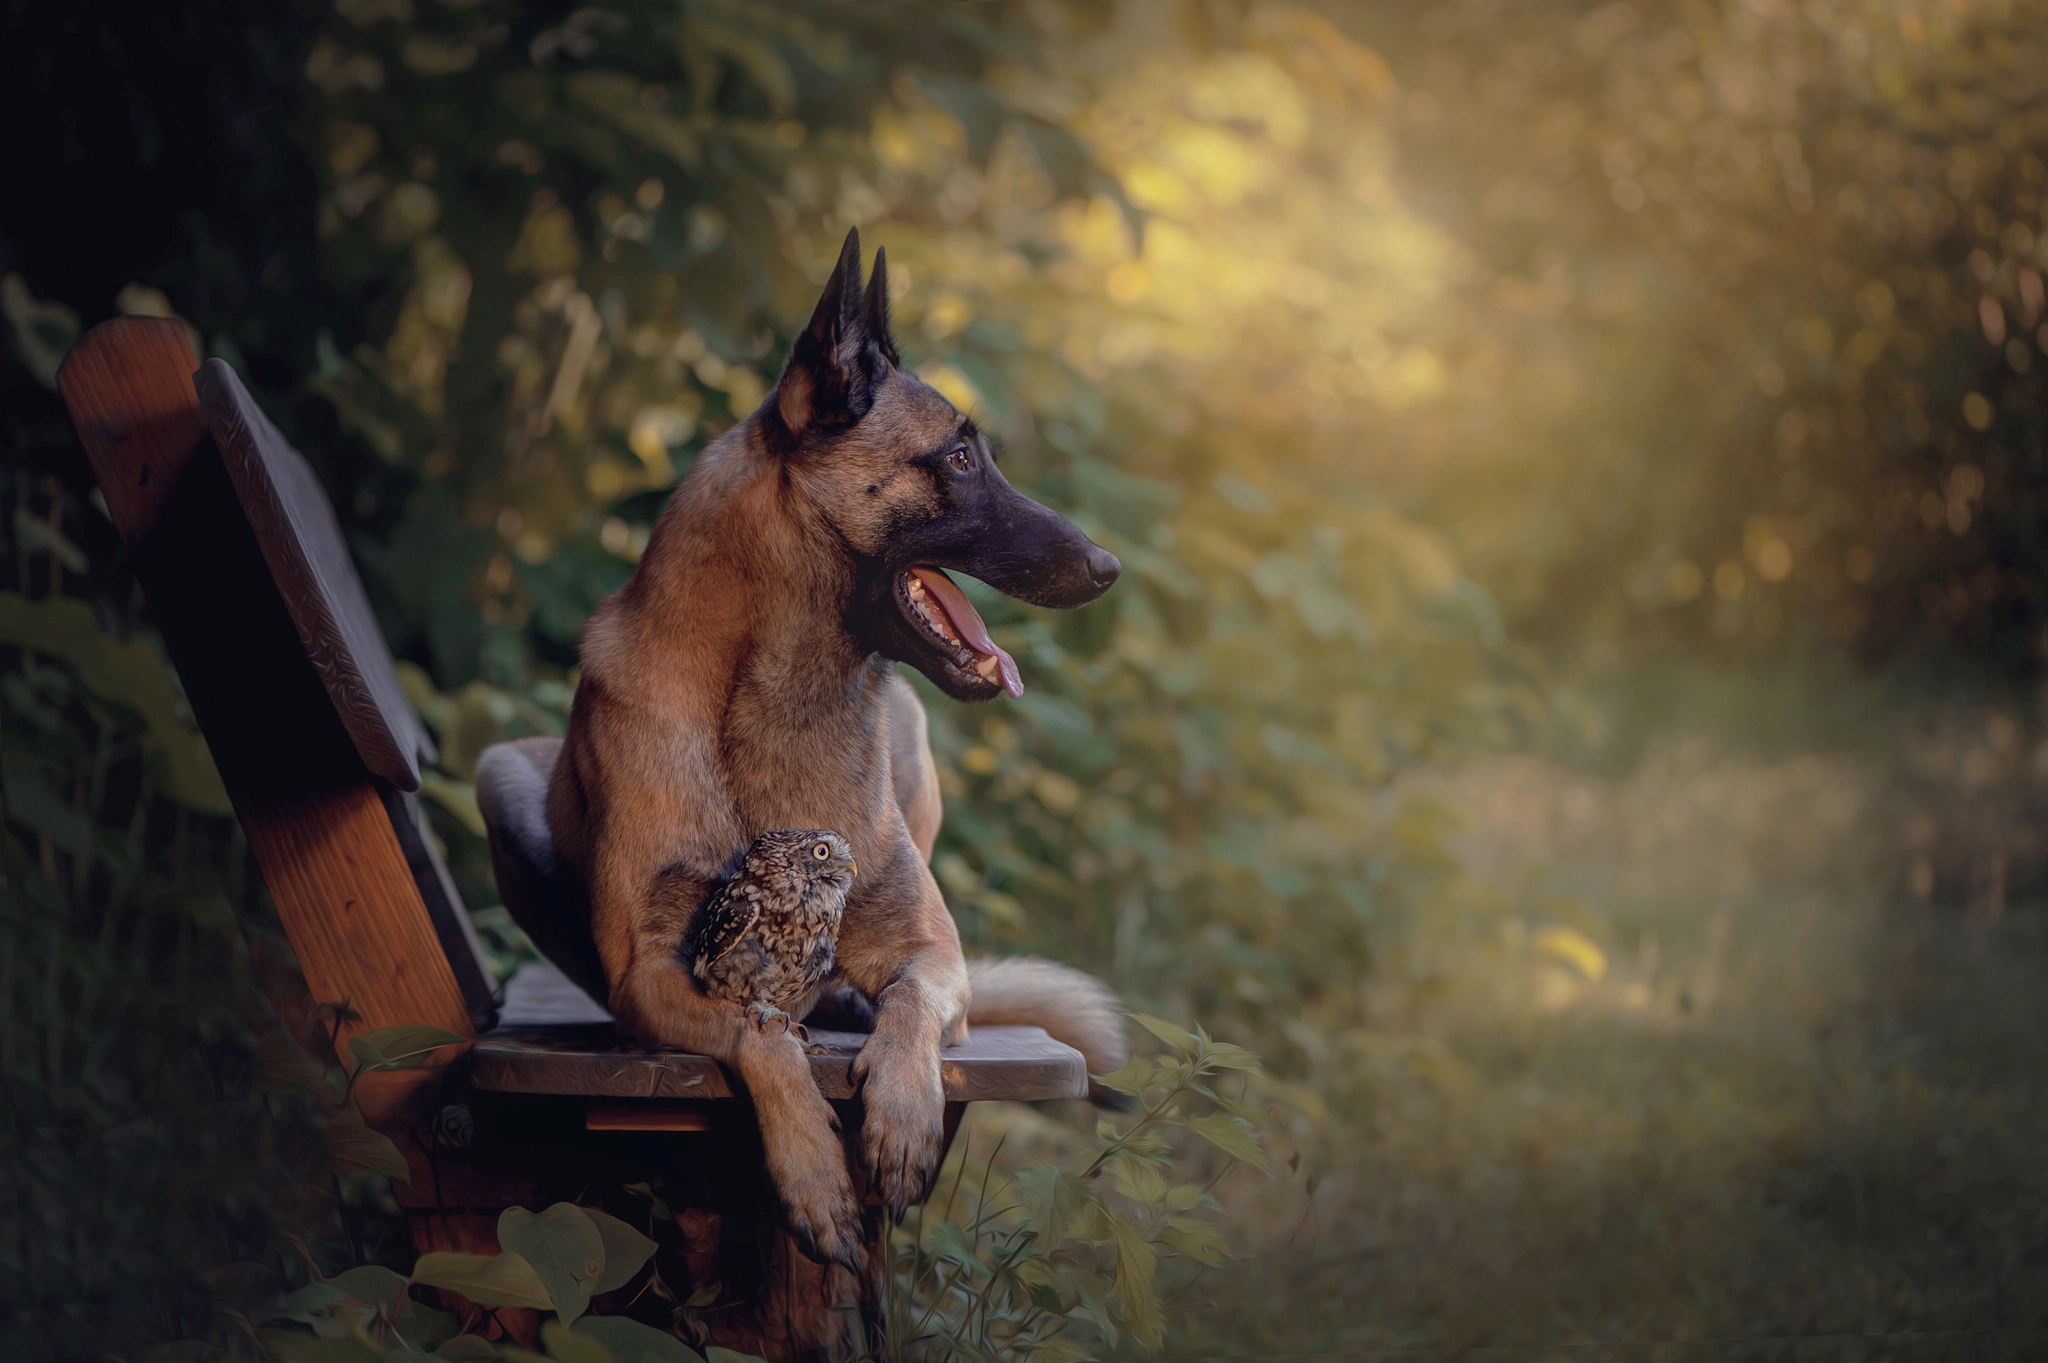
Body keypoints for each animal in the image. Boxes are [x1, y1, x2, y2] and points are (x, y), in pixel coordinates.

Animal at [552, 225, 1130, 1260]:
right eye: (961, 457)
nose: (1109, 567)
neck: (773, 699)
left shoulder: (931, 949)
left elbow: (910, 1004)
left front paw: (900, 1115)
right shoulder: (648, 979)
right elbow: (757, 1029)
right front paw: (815, 1171)